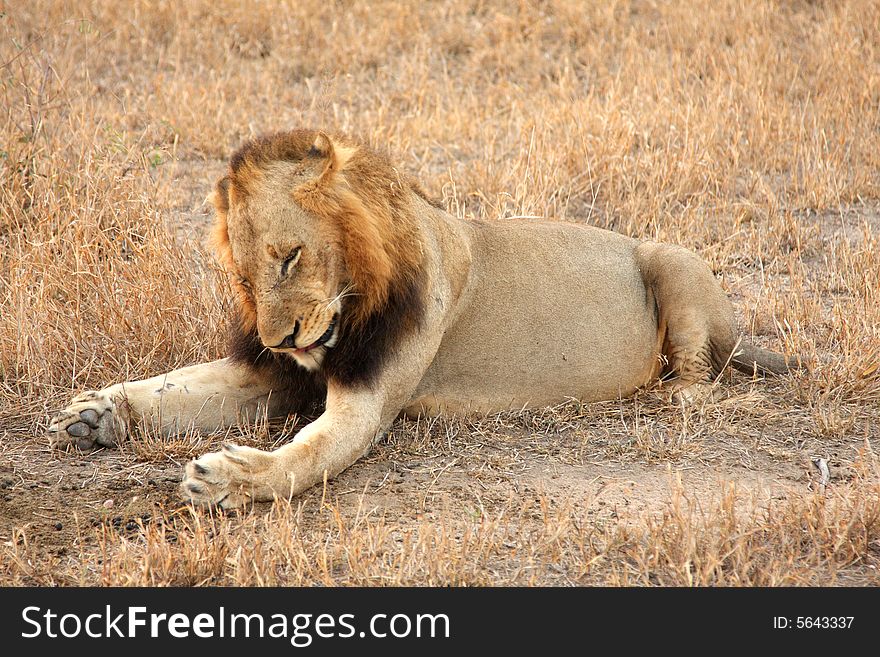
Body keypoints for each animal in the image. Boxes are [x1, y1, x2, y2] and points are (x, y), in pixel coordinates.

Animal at [46, 128, 796, 508]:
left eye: (290, 256)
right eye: (245, 277)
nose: (278, 338)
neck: (351, 305)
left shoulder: (368, 403)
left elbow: (305, 456)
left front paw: (229, 479)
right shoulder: (276, 374)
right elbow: (179, 384)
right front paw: (98, 412)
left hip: (671, 257)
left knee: (701, 370)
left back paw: (677, 395)